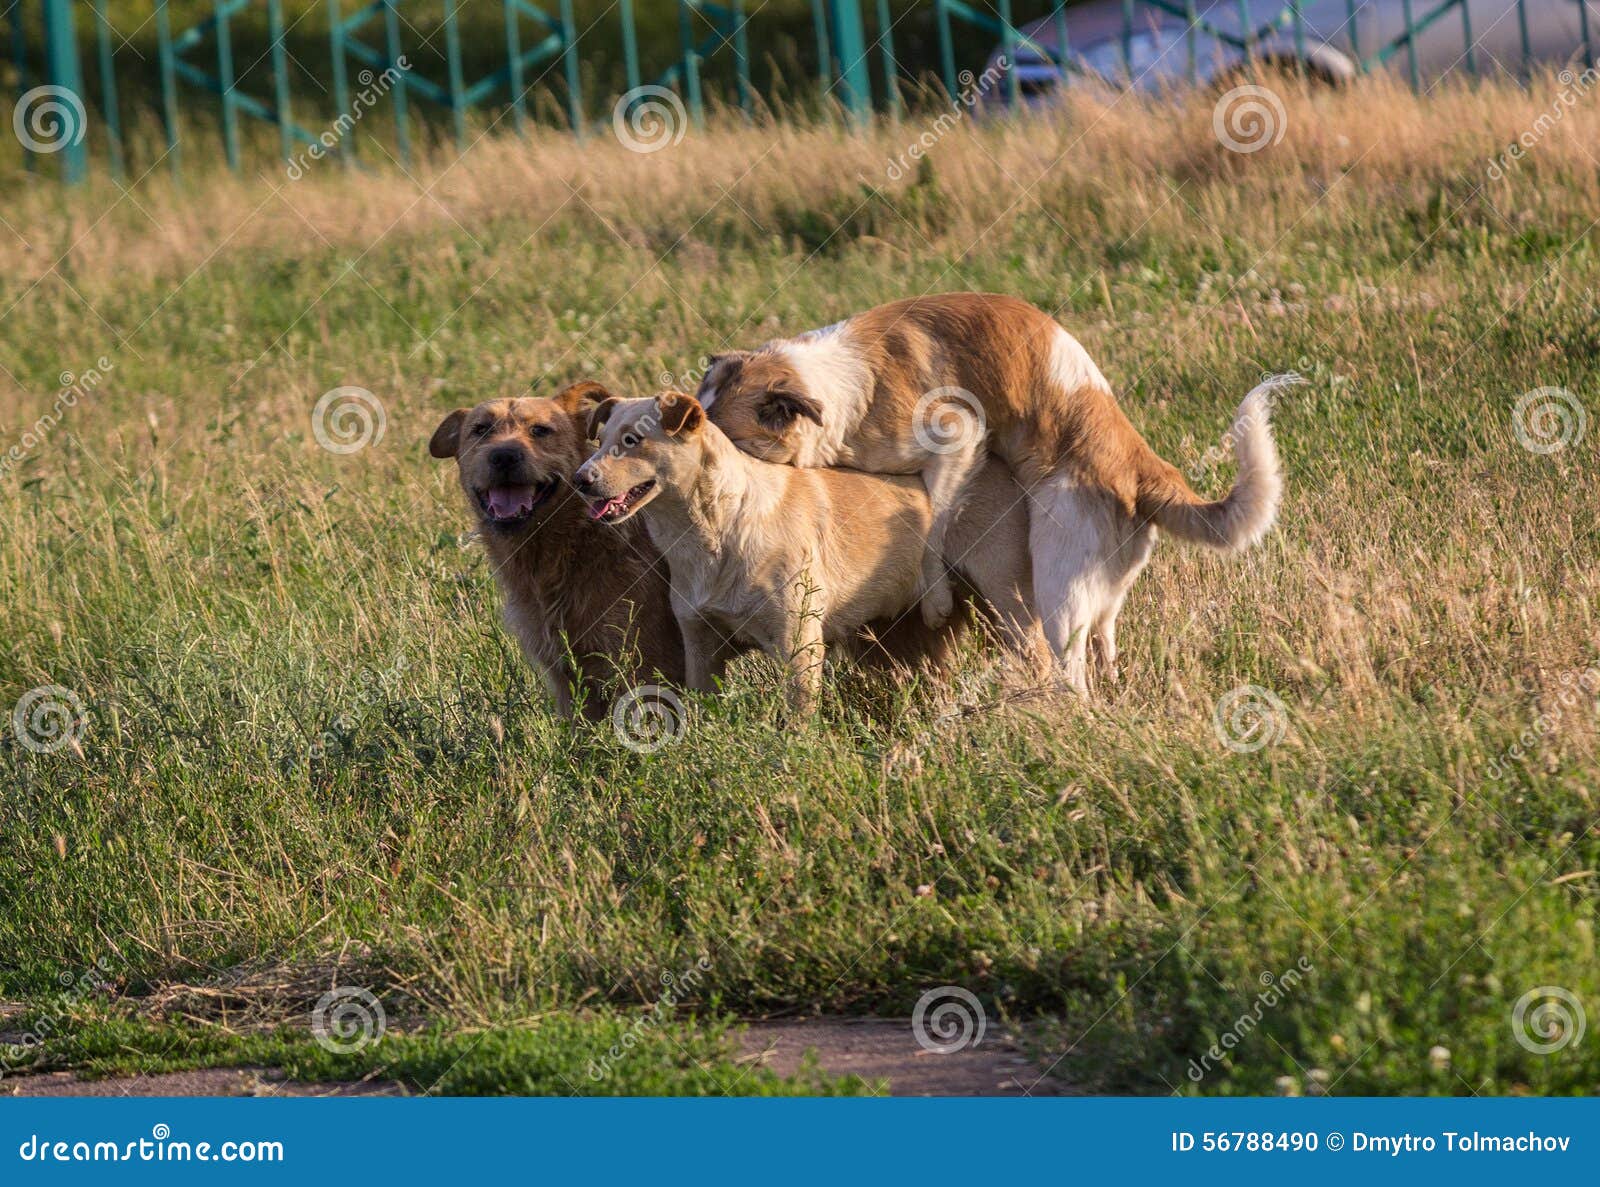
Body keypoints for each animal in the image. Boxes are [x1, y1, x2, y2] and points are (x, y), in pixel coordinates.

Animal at [576, 393, 1049, 716]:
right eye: (598, 441)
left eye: (632, 440)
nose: (581, 479)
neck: (710, 530)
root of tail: (994, 460)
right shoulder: (700, 646)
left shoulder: (800, 646)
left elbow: (798, 726)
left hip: (1009, 603)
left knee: (1040, 659)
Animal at [700, 291, 1286, 694]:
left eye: (723, 441)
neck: (838, 381)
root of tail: (1142, 467)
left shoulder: (957, 439)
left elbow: (935, 524)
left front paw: (935, 597)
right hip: (1099, 590)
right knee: (1104, 644)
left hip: (1056, 577)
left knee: (1069, 666)